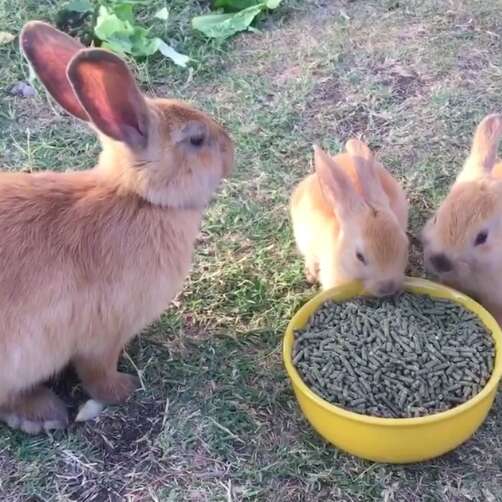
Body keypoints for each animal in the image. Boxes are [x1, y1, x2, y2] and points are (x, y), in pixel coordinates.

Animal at [0, 21, 234, 434]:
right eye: (196, 139)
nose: (232, 152)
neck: (140, 199)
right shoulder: (101, 336)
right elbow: (97, 373)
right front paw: (124, 390)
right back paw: (43, 414)